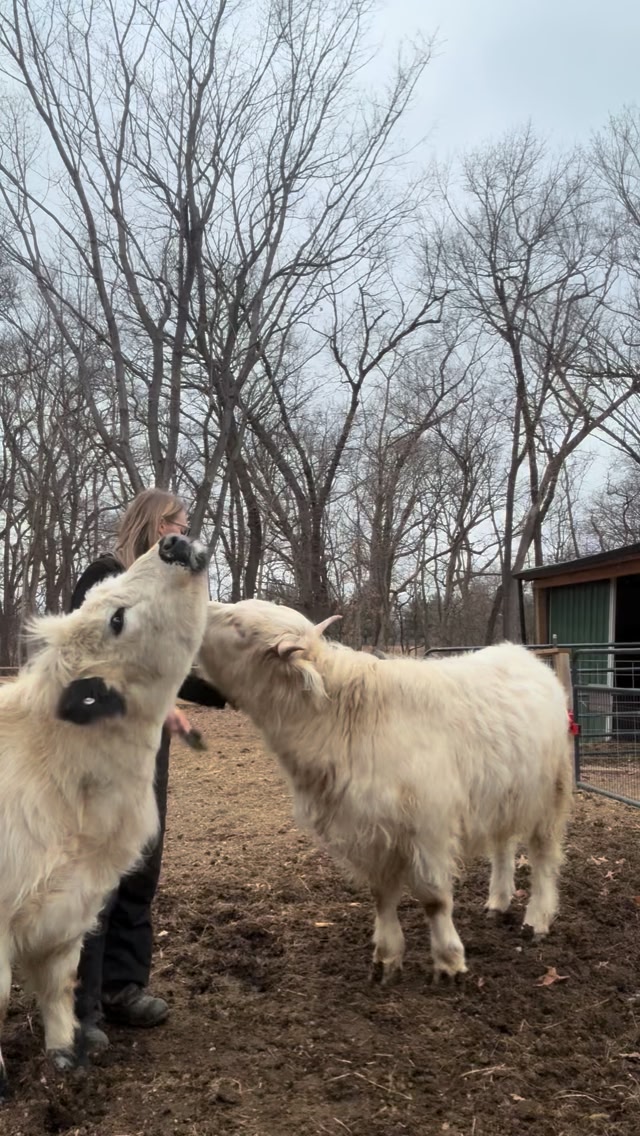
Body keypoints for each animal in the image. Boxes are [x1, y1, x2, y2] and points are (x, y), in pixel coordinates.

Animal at [198, 599, 573, 985]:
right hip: (503, 794)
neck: (344, 717)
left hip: (550, 792)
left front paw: (449, 961)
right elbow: (382, 896)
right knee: (503, 844)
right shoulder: (370, 832)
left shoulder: (430, 828)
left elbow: (435, 899)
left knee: (544, 856)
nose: (203, 604)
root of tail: (520, 653)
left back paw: (537, 920)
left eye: (239, 626)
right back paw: (498, 901)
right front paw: (387, 958)